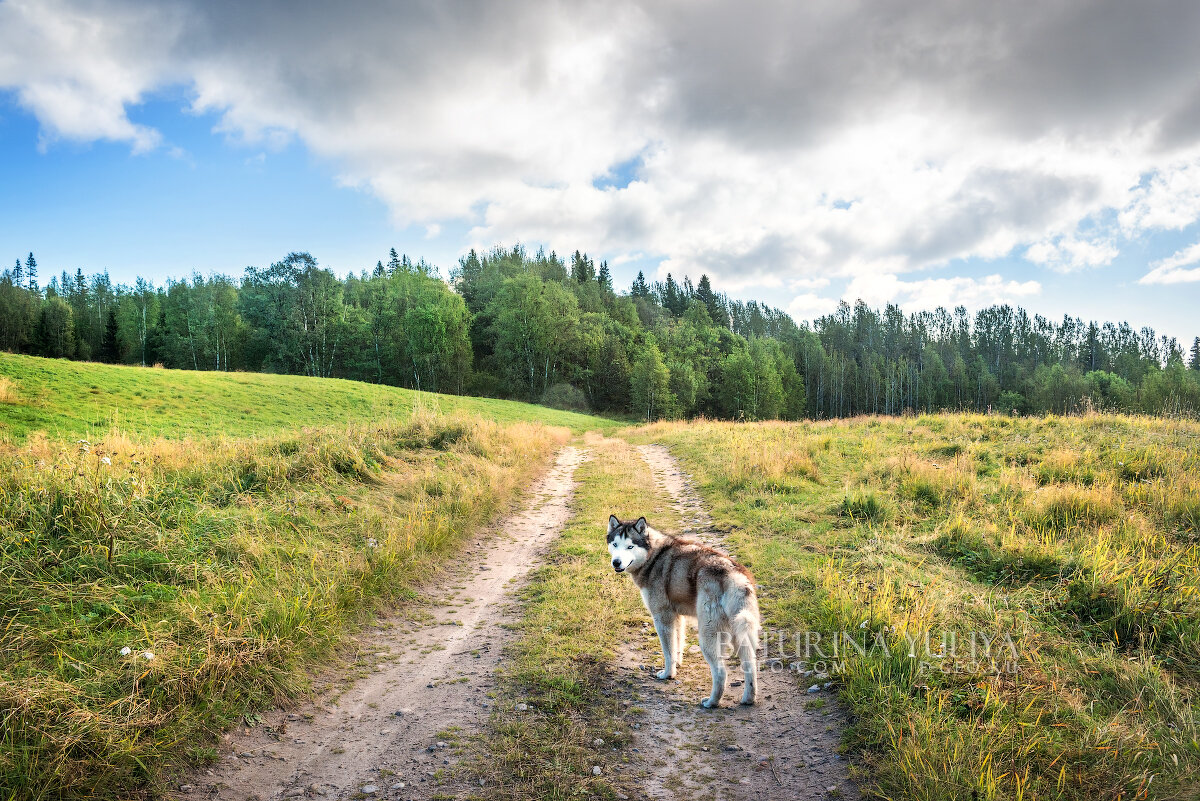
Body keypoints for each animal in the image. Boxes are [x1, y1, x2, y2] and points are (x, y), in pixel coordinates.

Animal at [609, 515, 758, 705]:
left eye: (630, 546)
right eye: (615, 544)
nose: (616, 562)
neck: (653, 557)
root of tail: (734, 575)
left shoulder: (662, 617)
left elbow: (668, 652)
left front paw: (668, 674)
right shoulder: (677, 617)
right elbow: (677, 645)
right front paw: (677, 664)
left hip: (708, 636)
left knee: (720, 673)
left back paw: (711, 703)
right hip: (740, 634)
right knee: (750, 666)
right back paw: (748, 699)